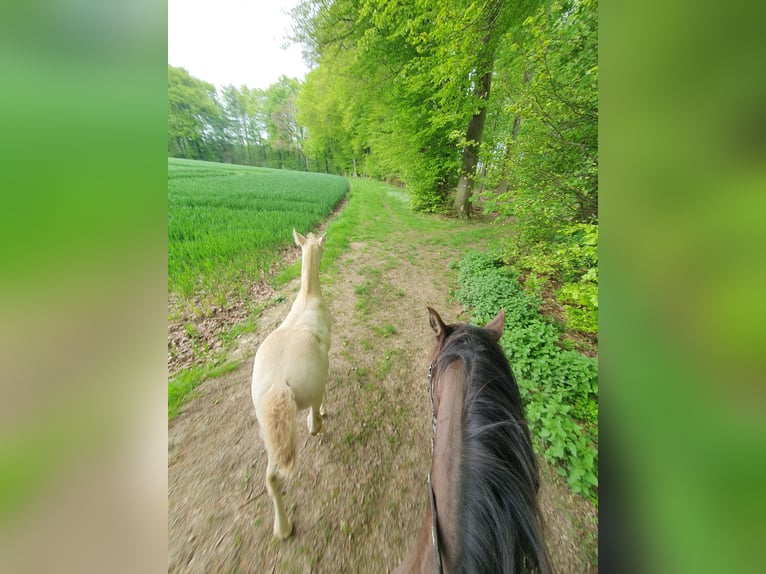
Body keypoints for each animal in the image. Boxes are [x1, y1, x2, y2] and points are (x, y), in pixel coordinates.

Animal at [254, 228, 332, 540]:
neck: (308, 296)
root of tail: (278, 385)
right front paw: (321, 416)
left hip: (266, 423)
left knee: (271, 477)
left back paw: (283, 528)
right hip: (310, 383)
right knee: (315, 403)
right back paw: (317, 422)